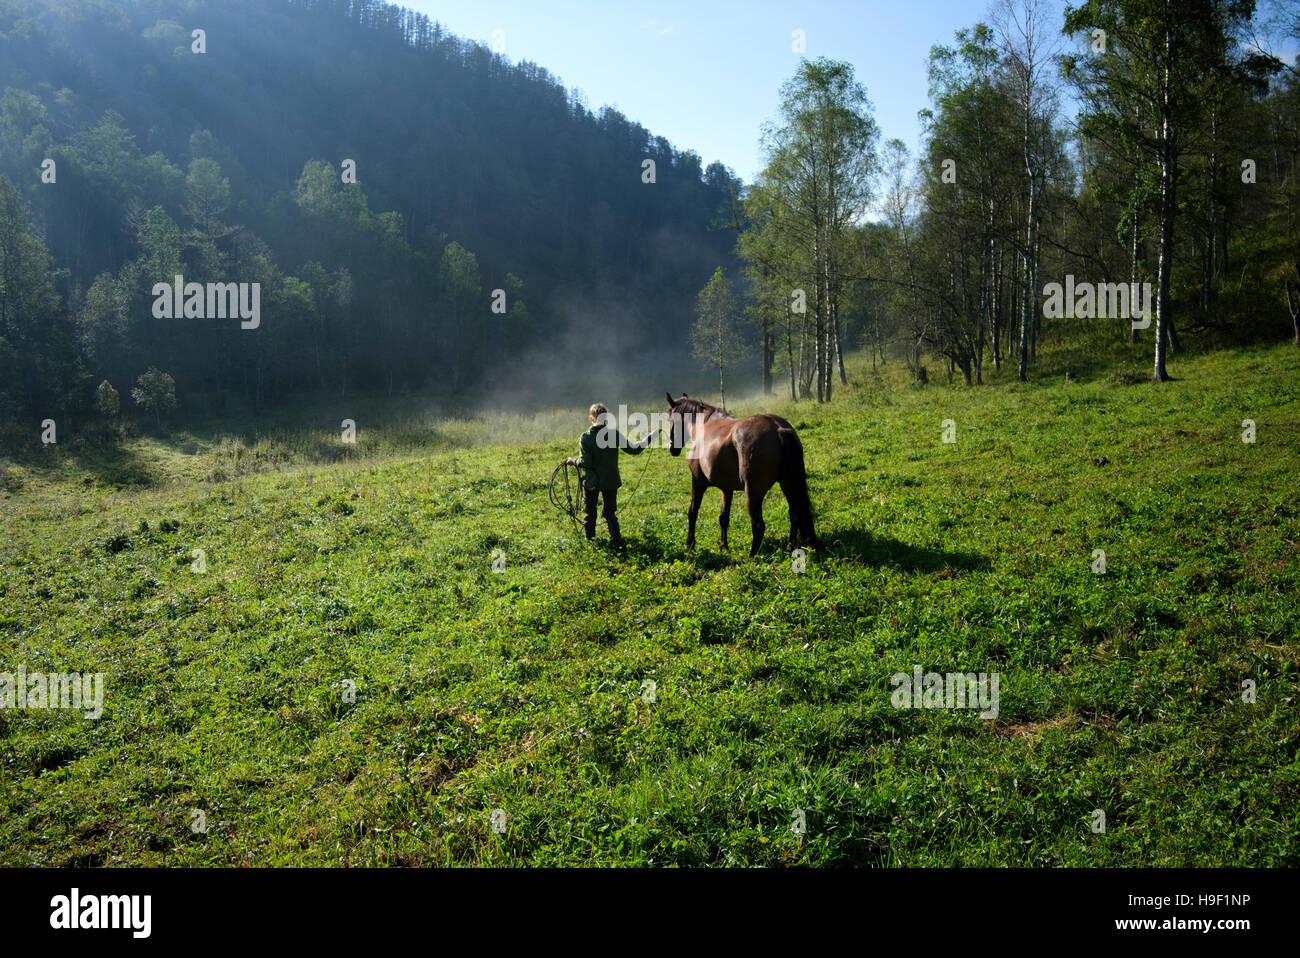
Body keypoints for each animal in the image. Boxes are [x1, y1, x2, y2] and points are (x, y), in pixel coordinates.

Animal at [665, 389, 816, 553]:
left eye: (670, 418)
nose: (672, 448)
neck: (704, 424)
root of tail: (778, 428)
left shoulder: (698, 482)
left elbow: (693, 512)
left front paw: (690, 543)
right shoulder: (727, 488)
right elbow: (724, 517)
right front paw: (723, 545)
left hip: (753, 492)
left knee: (758, 525)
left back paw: (752, 554)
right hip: (788, 484)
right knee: (794, 513)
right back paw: (790, 546)